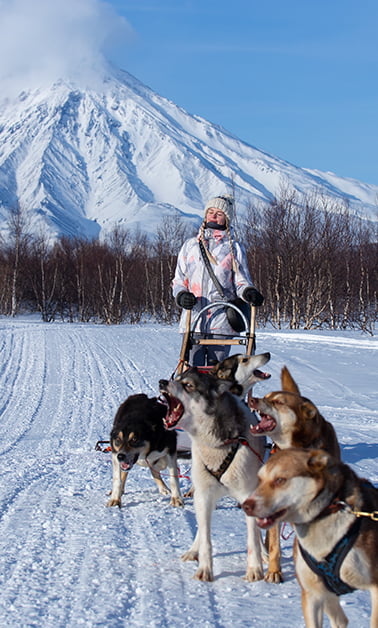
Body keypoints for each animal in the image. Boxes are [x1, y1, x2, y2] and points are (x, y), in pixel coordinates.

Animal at [159, 368, 266, 584]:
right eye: (177, 379)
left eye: (188, 385)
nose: (162, 382)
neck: (217, 446)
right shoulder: (204, 495)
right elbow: (206, 538)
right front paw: (205, 569)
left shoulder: (249, 496)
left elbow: (253, 539)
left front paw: (255, 569)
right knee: (201, 528)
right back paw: (193, 551)